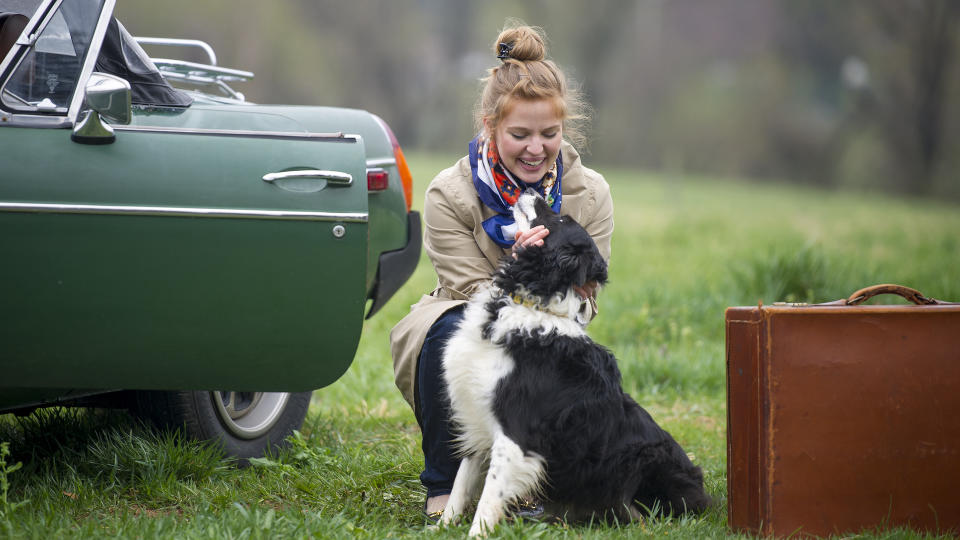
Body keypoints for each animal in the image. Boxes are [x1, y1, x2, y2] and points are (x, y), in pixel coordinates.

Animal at [438, 192, 708, 532]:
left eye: (562, 219)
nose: (532, 192)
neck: (529, 304)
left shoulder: (516, 433)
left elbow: (489, 498)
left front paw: (476, 534)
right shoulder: (477, 415)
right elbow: (461, 484)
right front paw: (440, 527)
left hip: (645, 459)